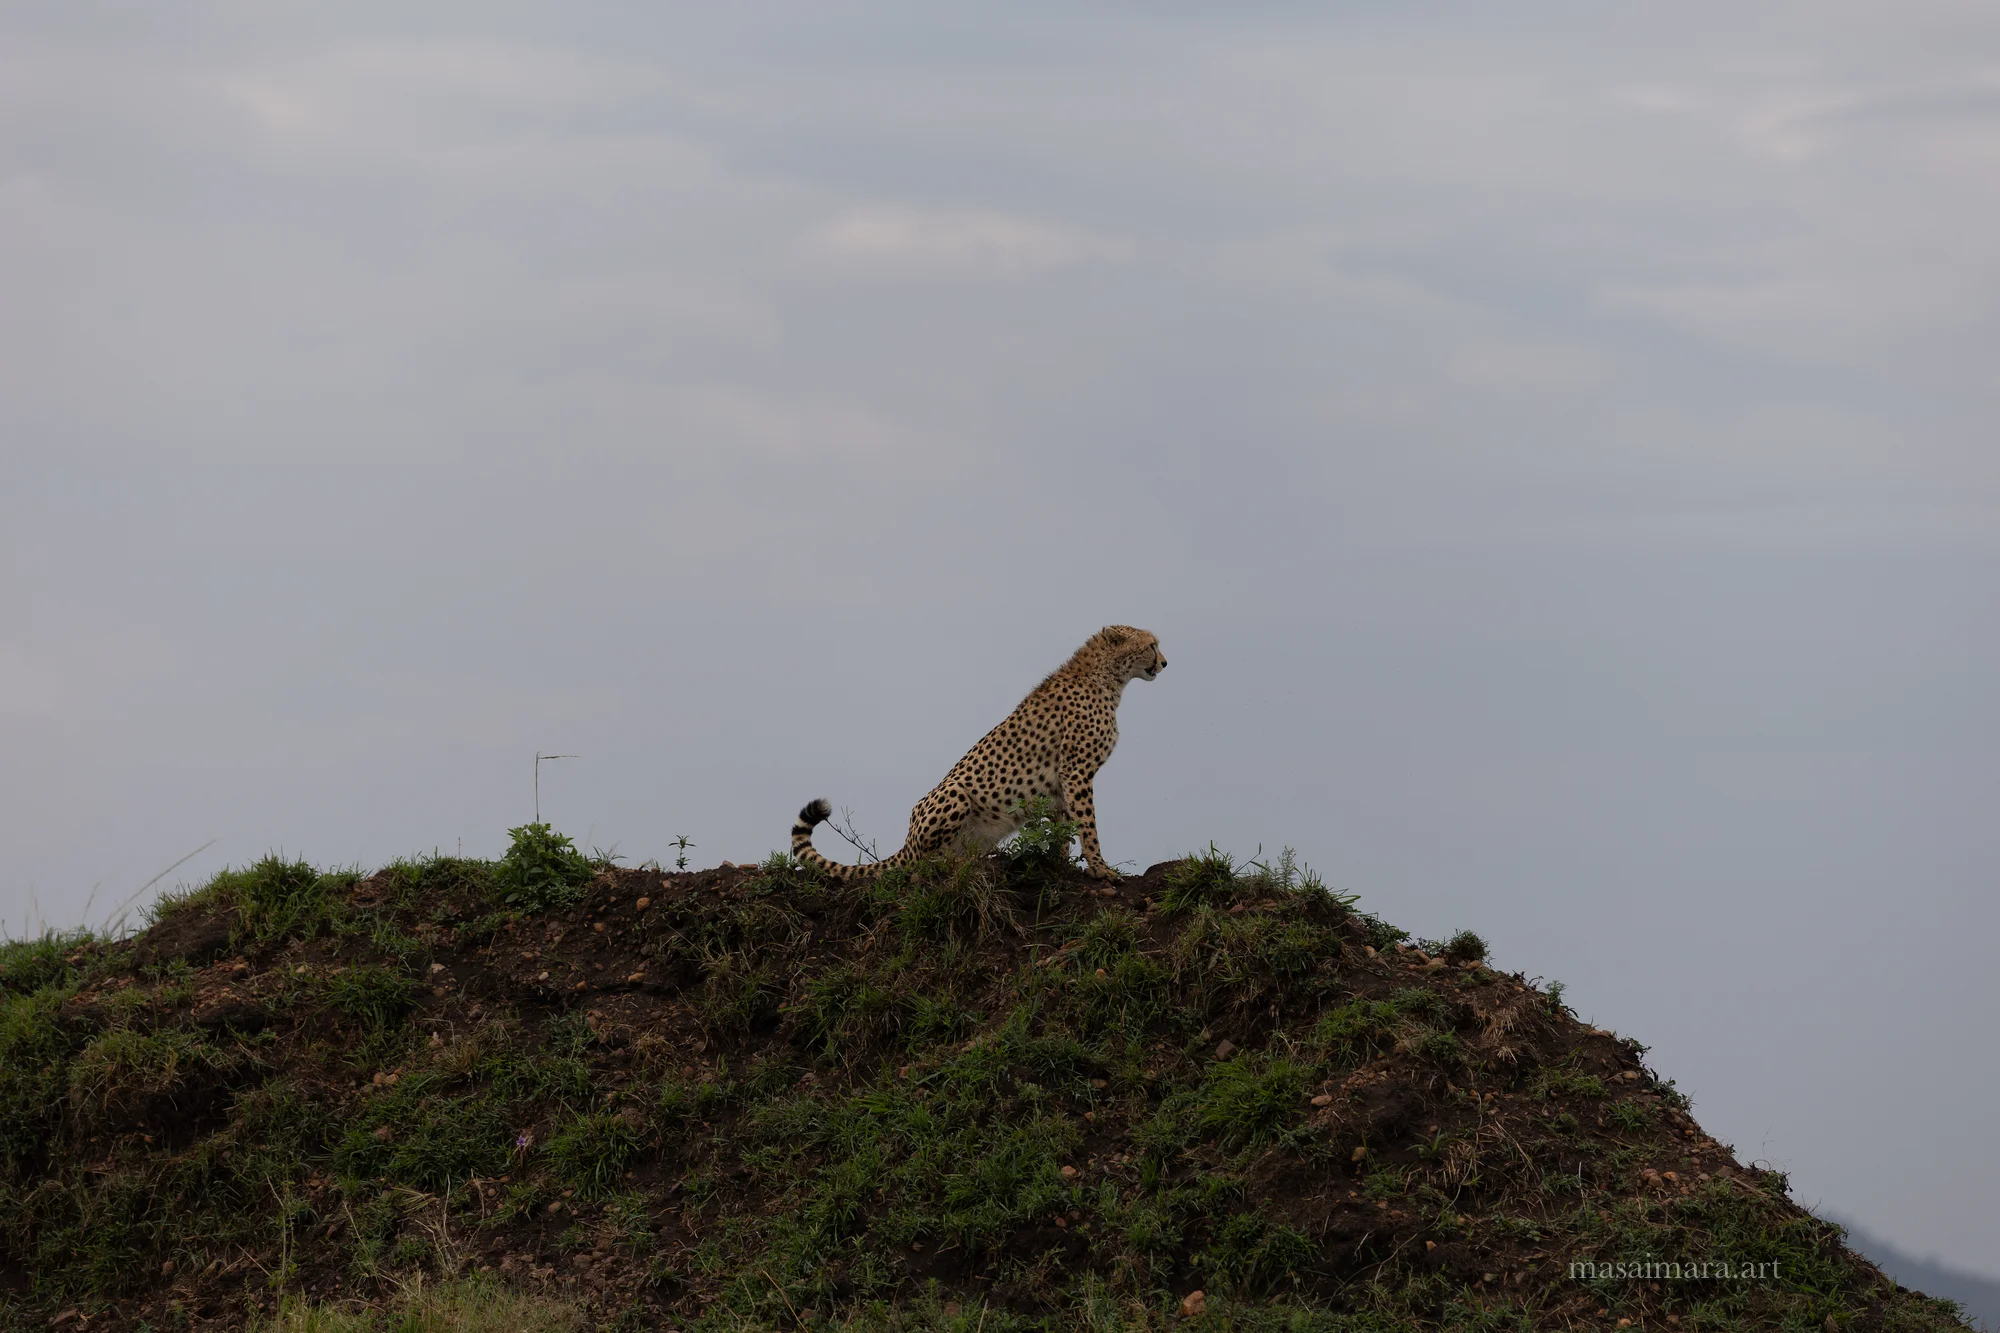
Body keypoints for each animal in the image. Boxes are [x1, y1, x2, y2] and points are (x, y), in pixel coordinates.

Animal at [790, 625, 1166, 882]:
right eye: (1151, 645)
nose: (1165, 662)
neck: (1108, 677)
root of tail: (907, 842)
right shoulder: (1076, 771)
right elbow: (1087, 824)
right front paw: (1102, 869)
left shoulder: (1062, 782)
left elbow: (1063, 827)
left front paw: (1062, 865)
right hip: (955, 794)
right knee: (925, 864)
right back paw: (959, 864)